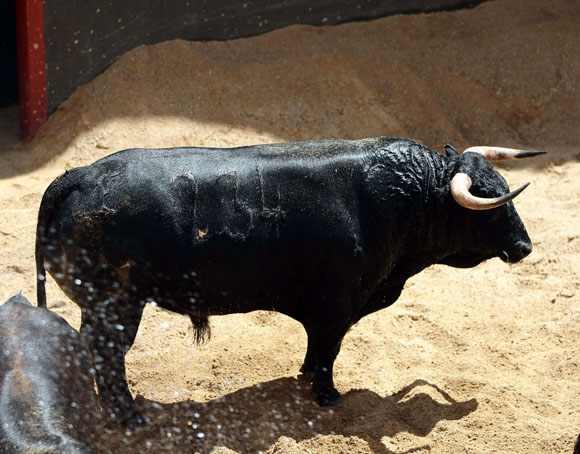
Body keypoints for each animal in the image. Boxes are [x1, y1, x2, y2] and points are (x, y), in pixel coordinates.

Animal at [35, 137, 544, 428]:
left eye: (505, 188)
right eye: (491, 204)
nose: (524, 247)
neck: (408, 195)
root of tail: (77, 176)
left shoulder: (325, 310)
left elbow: (317, 347)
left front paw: (305, 376)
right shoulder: (338, 304)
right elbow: (330, 349)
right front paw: (327, 395)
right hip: (119, 304)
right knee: (107, 354)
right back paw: (129, 419)